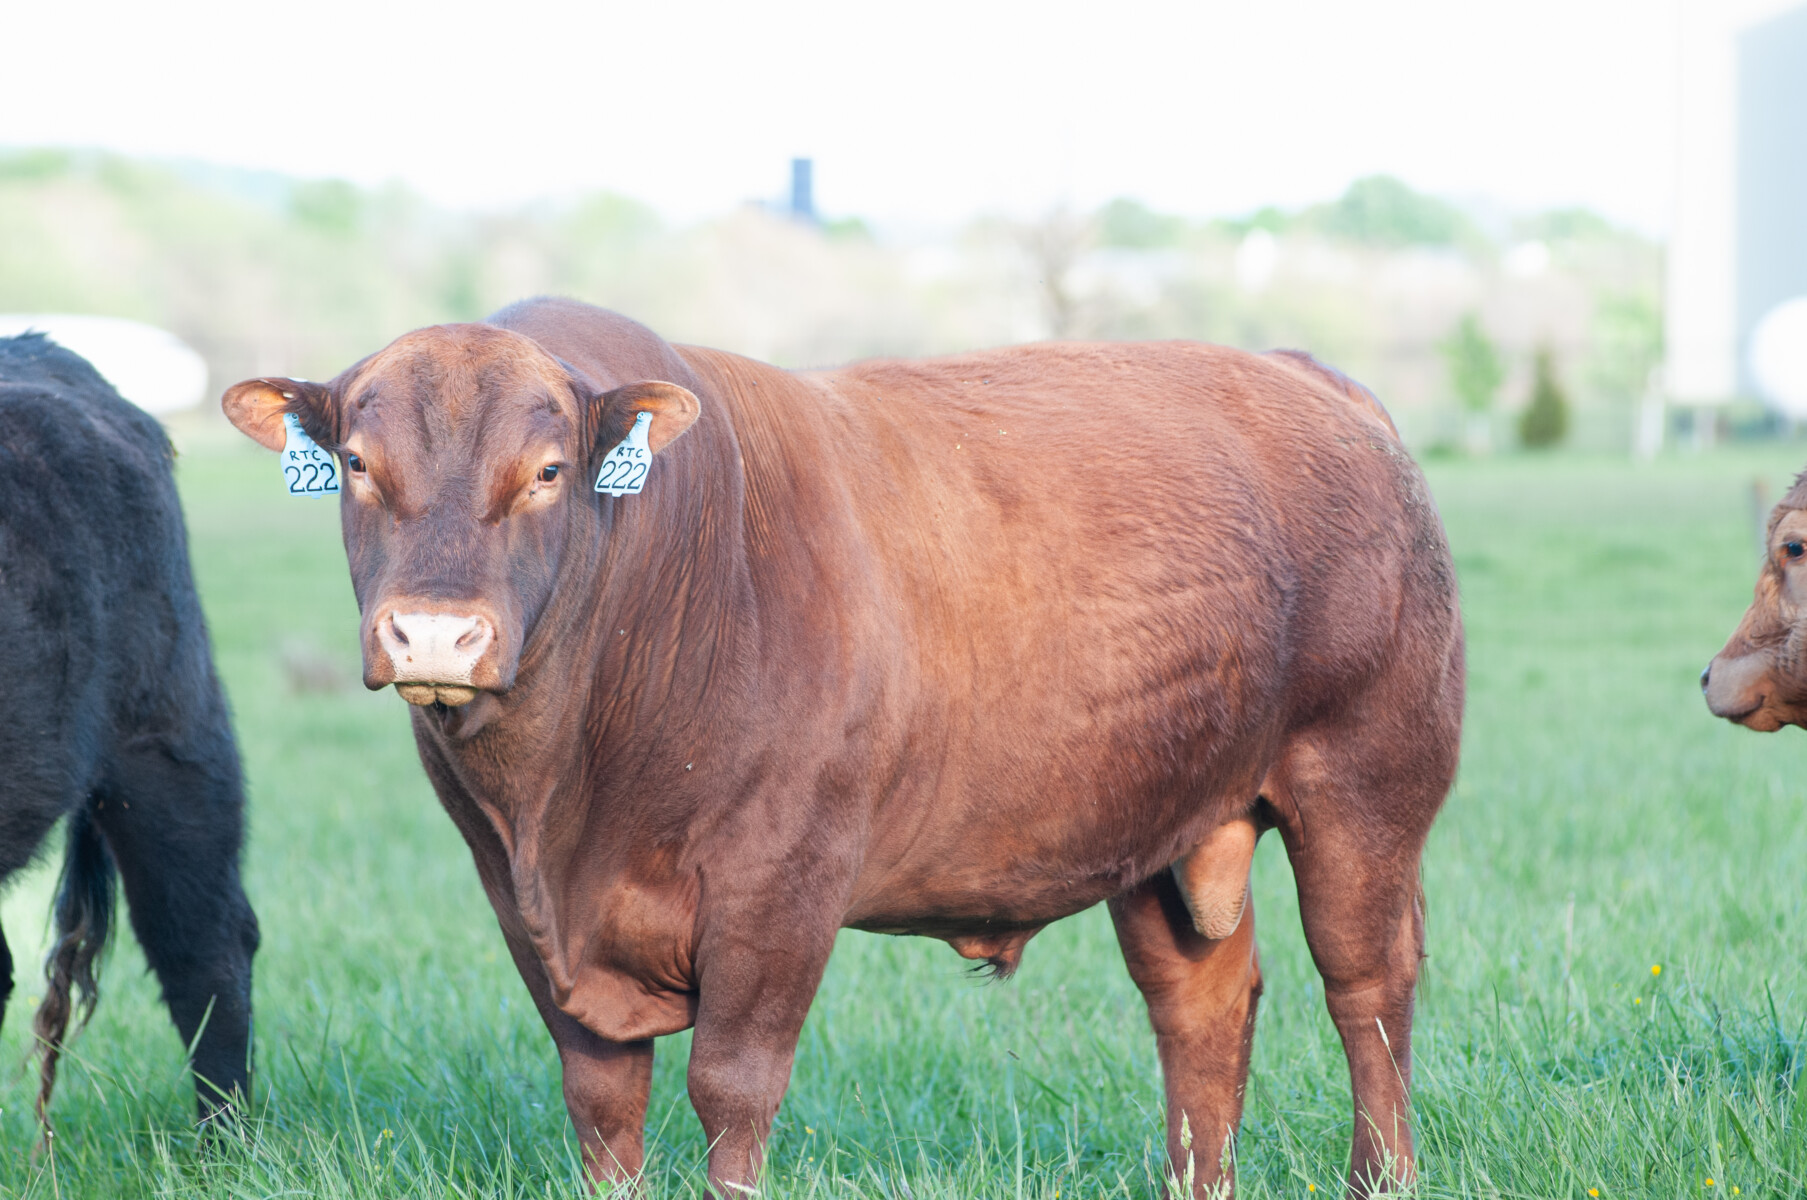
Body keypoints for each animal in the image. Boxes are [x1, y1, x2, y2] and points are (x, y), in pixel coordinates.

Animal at [222, 297, 1463, 1197]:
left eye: (547, 473)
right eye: (359, 464)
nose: (435, 632)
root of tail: (1304, 374)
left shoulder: (781, 887)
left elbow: (733, 1090)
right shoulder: (522, 909)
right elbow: (602, 1107)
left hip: (1365, 785)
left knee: (1367, 991)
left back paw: (1382, 1177)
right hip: (1168, 824)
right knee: (1198, 1005)